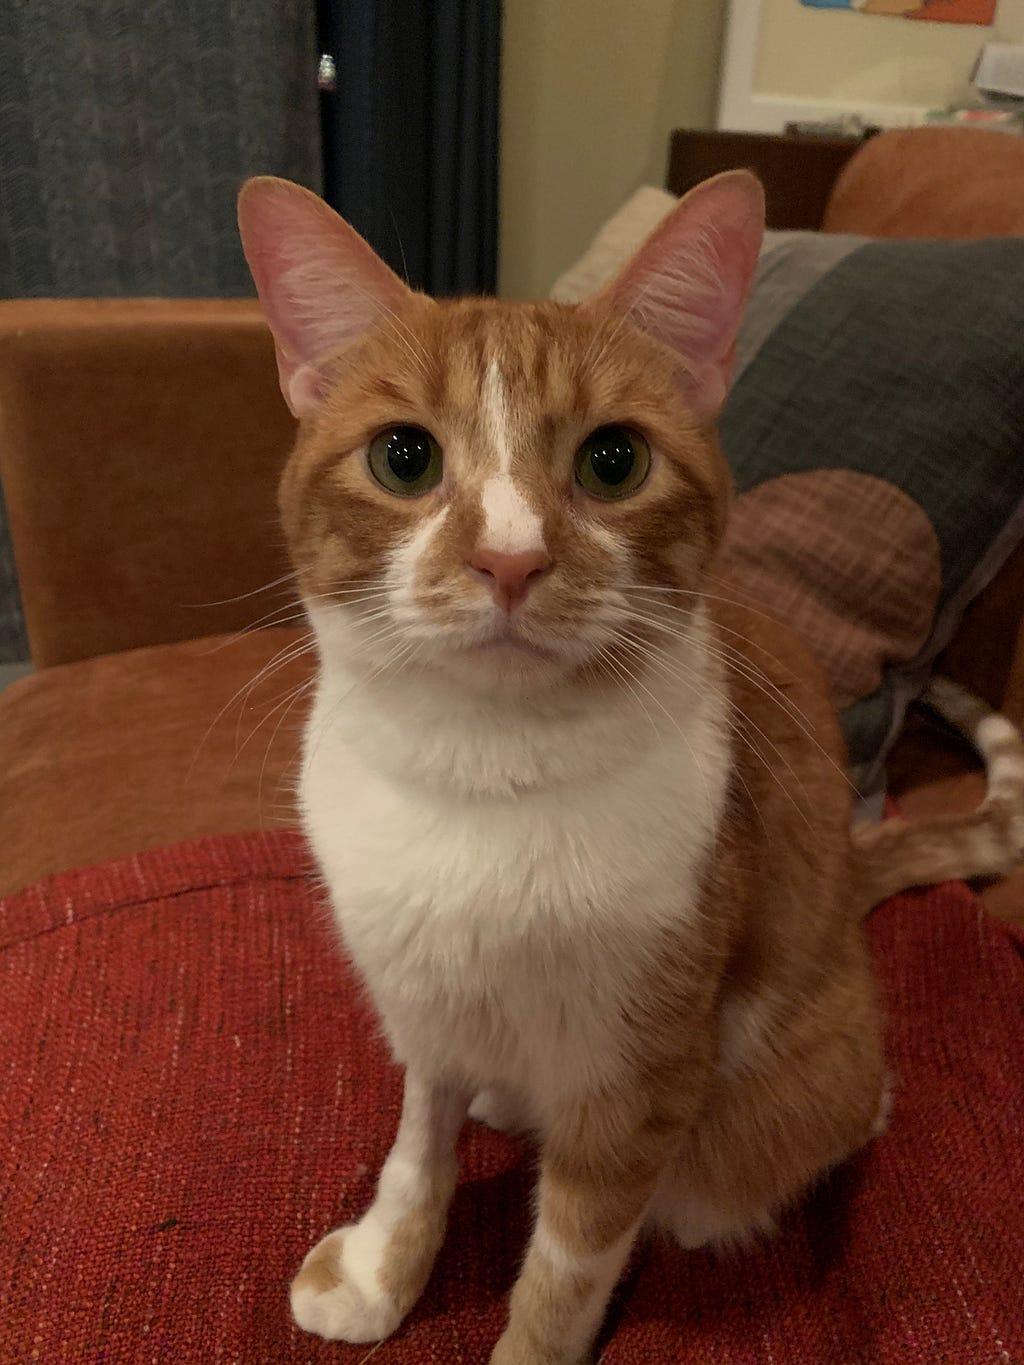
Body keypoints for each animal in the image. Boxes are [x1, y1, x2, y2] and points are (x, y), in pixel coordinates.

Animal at [238, 173, 1024, 1365]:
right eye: (403, 458)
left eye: (614, 461)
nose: (509, 559)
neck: (485, 771)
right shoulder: (421, 999)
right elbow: (419, 1147)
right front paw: (385, 1268)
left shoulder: (641, 1073)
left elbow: (565, 1271)